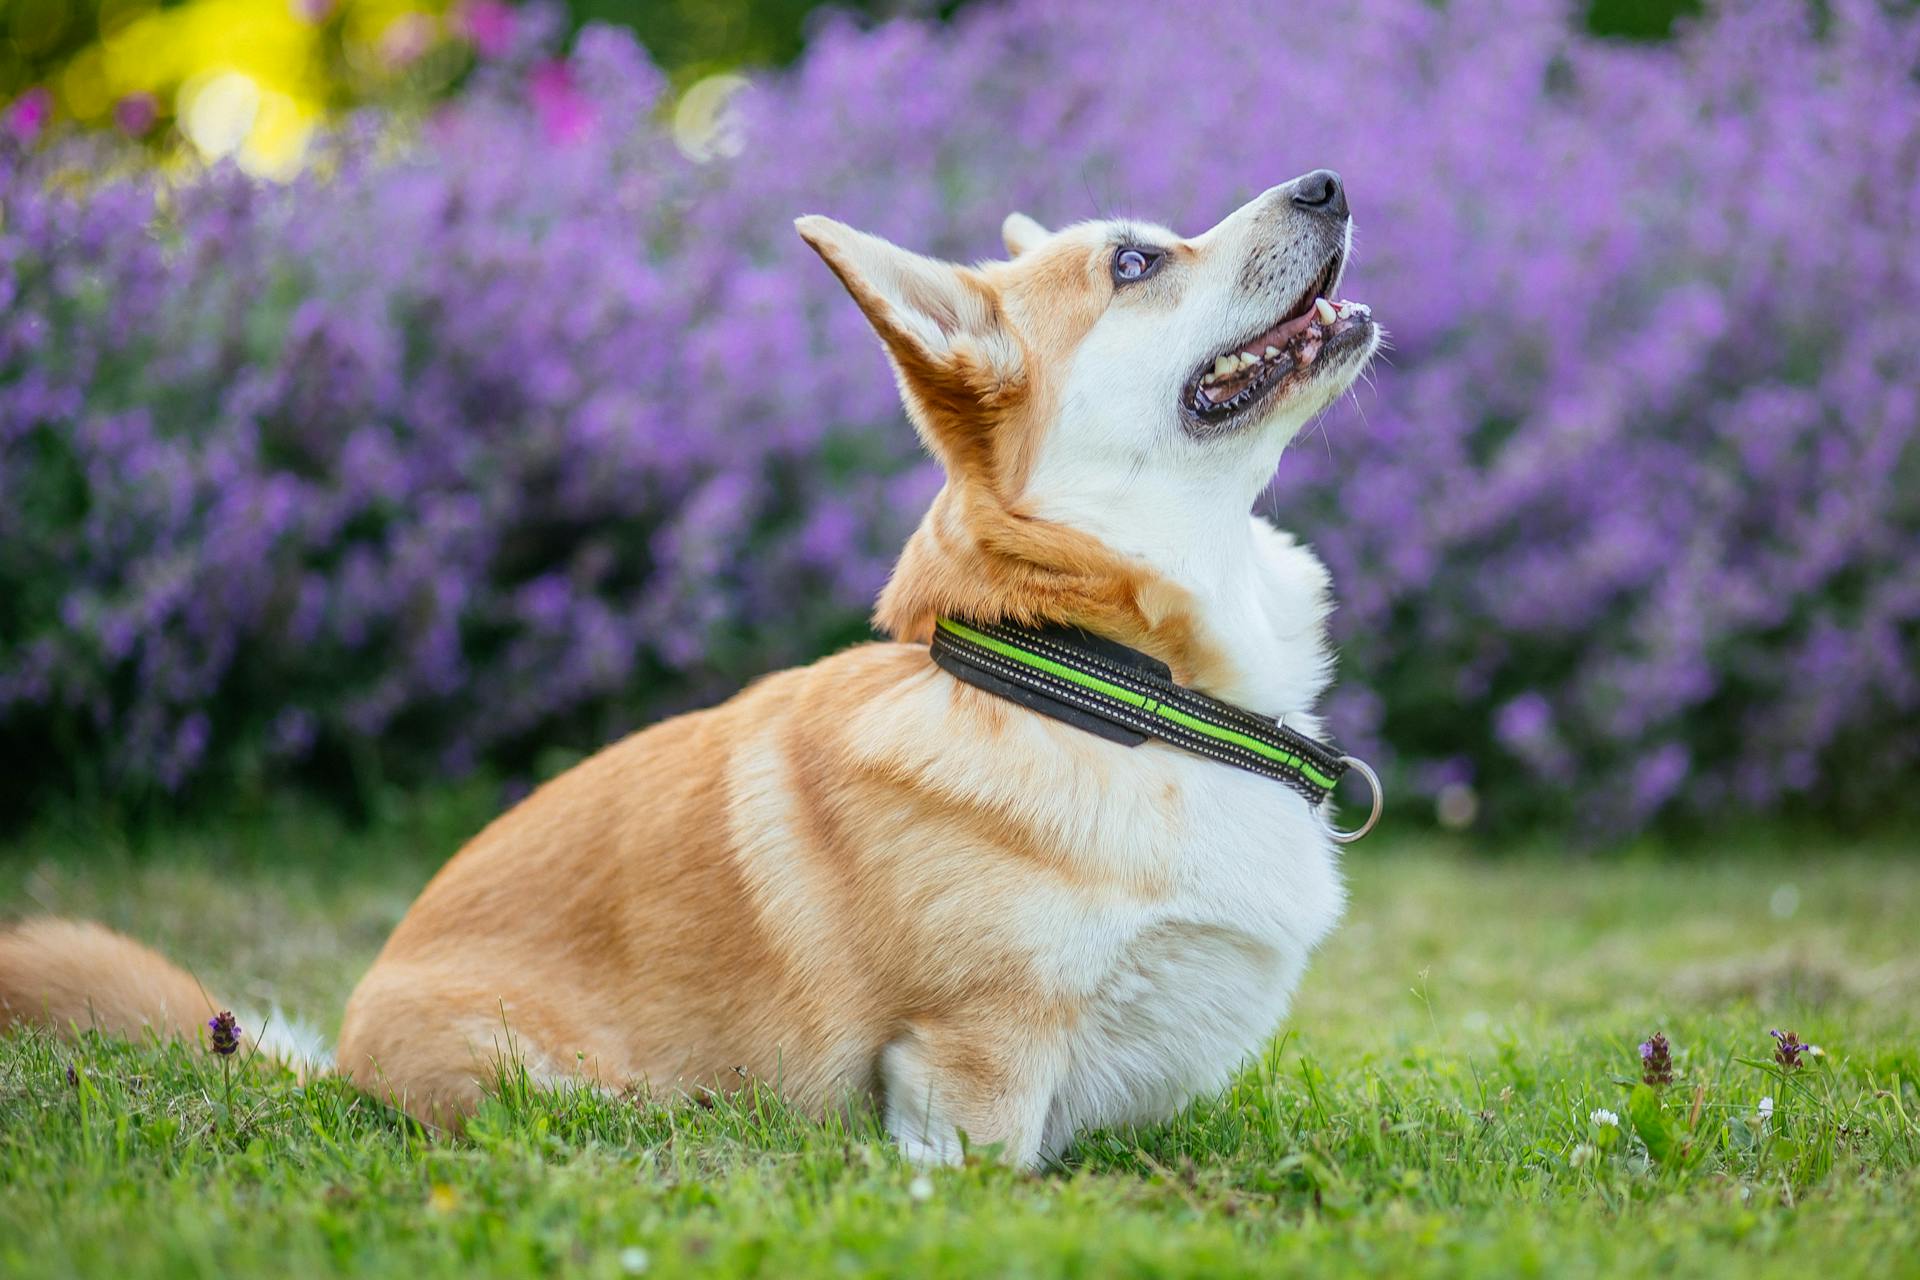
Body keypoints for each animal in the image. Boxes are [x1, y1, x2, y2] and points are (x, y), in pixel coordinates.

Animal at [0, 172, 1382, 1174]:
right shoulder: (968, 1065)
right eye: (1135, 263)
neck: (1118, 686)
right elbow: (995, 1179)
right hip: (566, 1088)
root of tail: (339, 1061)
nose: (1326, 182)